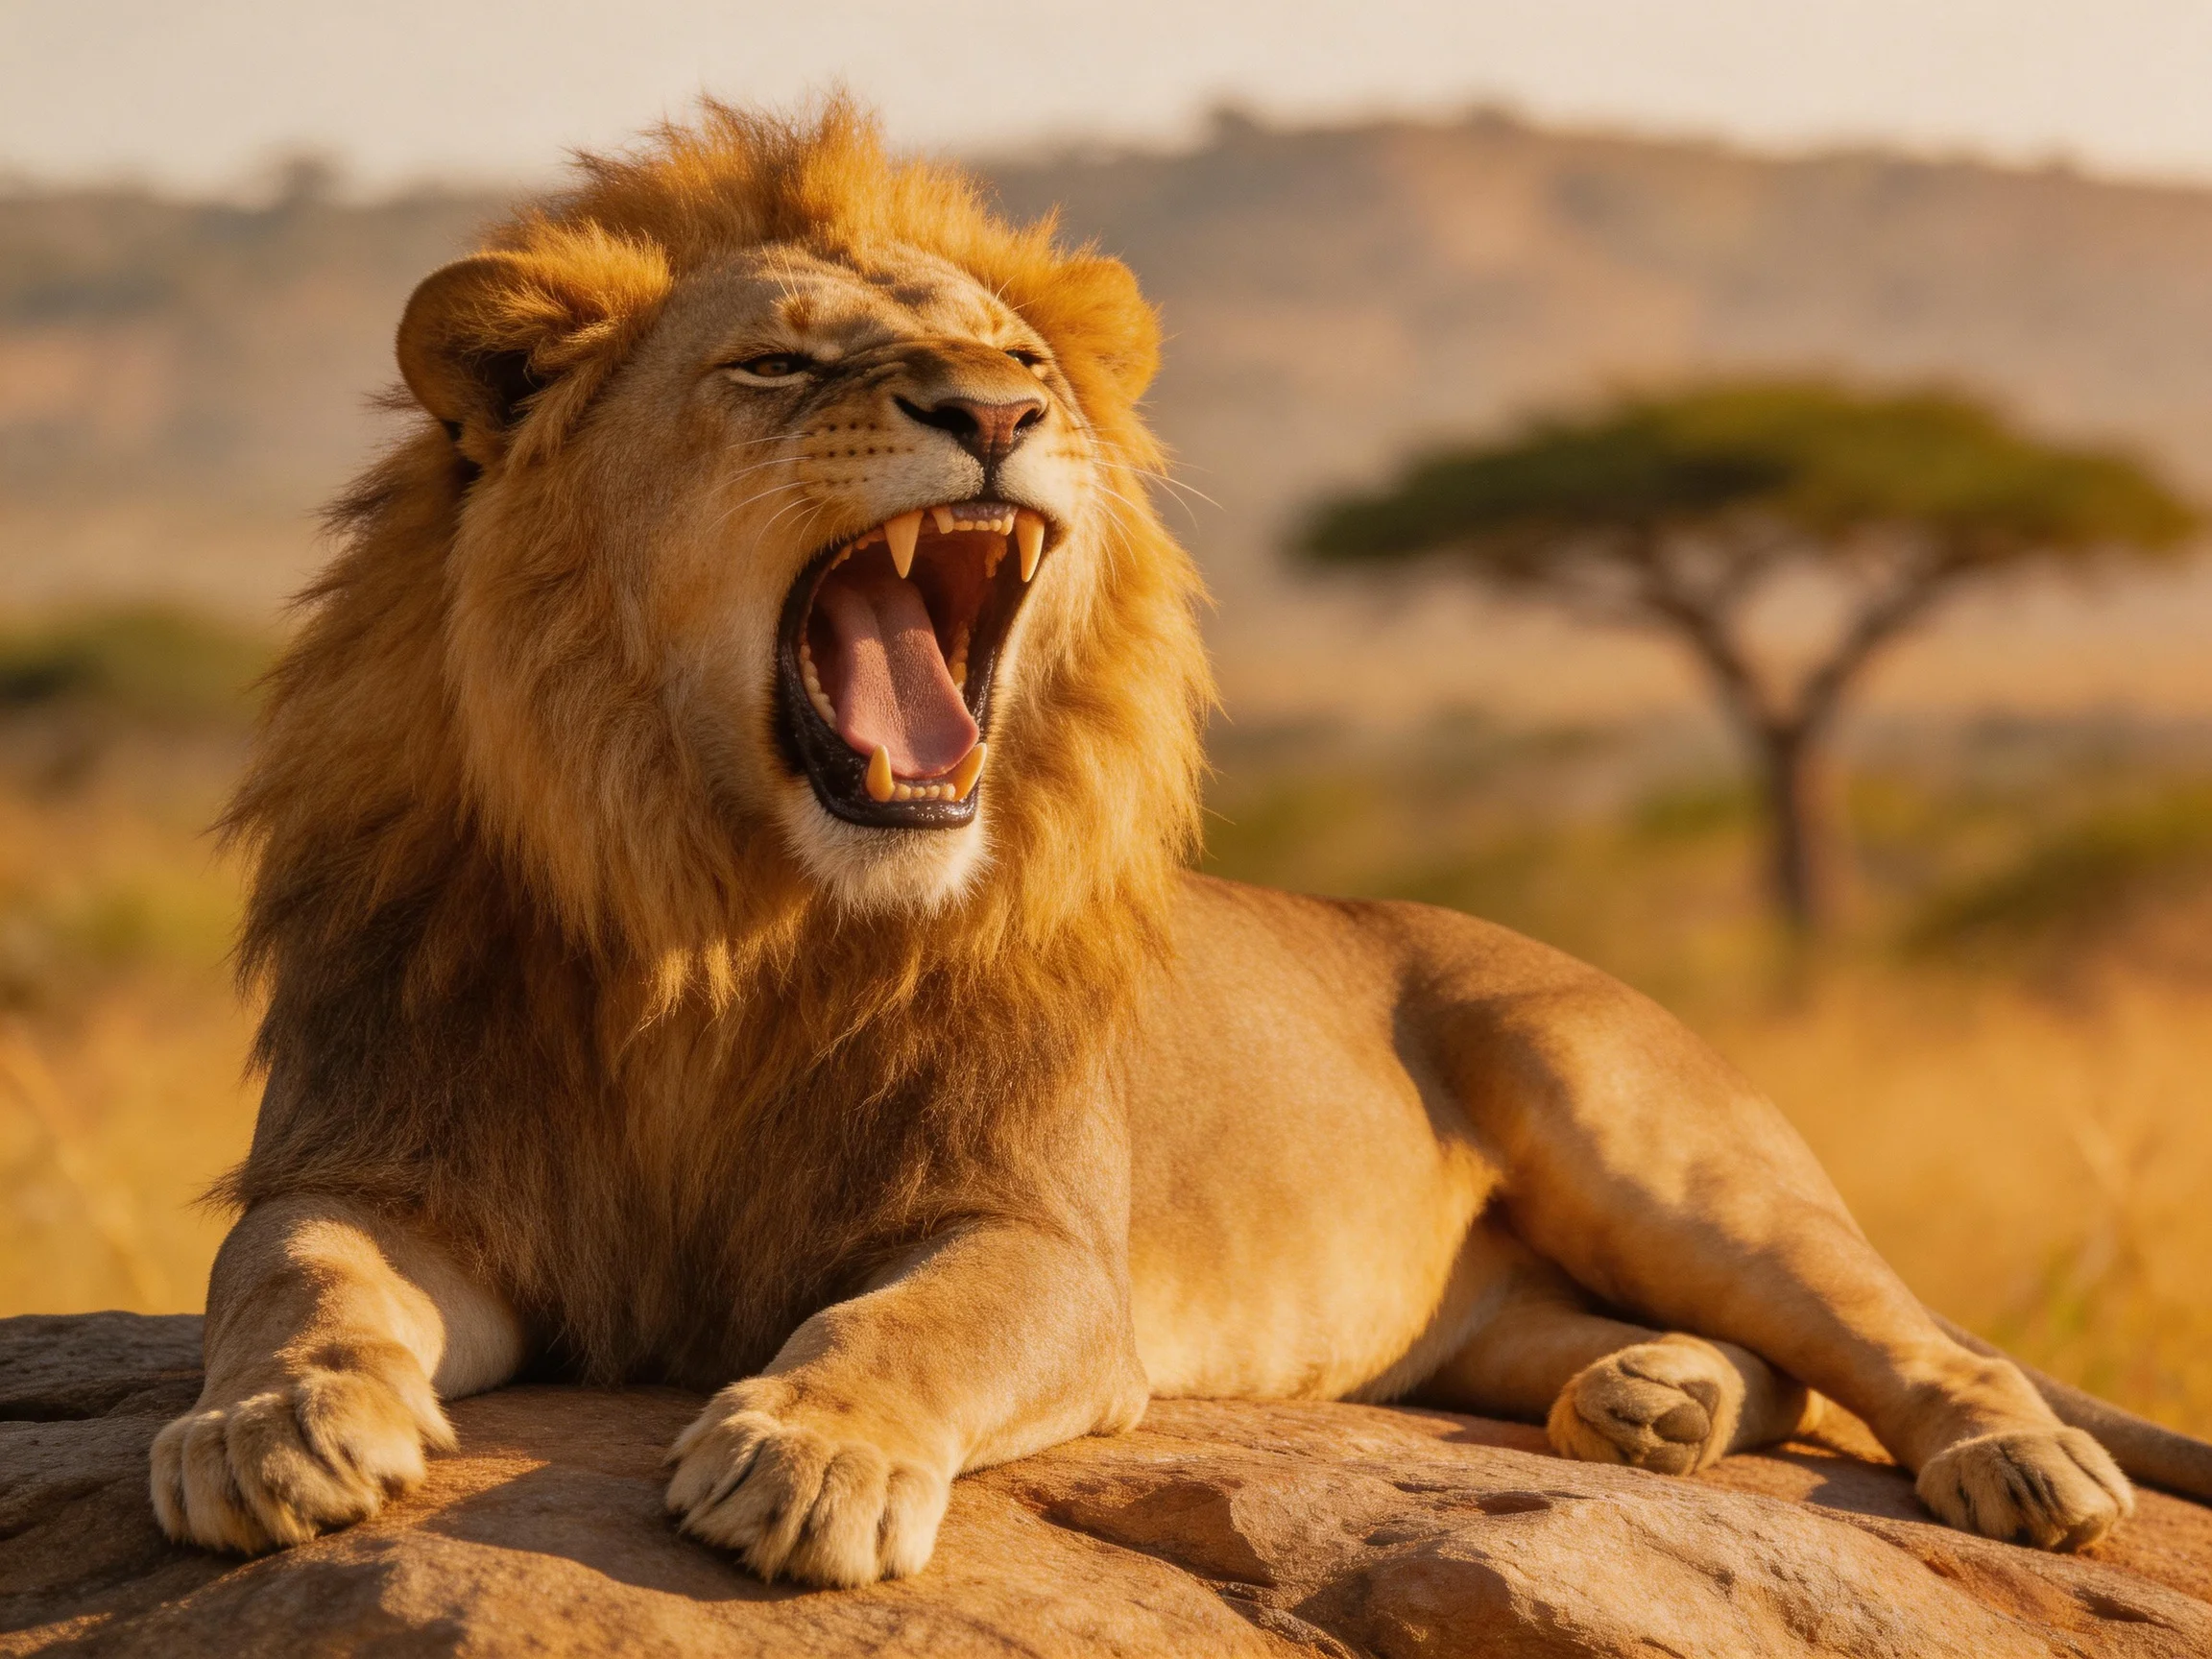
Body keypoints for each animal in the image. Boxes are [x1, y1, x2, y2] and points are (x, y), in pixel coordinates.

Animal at [151, 99, 2212, 1587]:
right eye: (778, 366)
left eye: (1008, 352)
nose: (995, 409)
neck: (718, 917)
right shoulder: (385, 1160)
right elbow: (294, 1280)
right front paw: (270, 1430)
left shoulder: (1045, 1242)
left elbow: (912, 1323)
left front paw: (809, 1452)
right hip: (1490, 1311)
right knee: (1701, 1362)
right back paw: (1654, 1400)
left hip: (1649, 1137)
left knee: (1898, 1337)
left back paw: (2017, 1460)